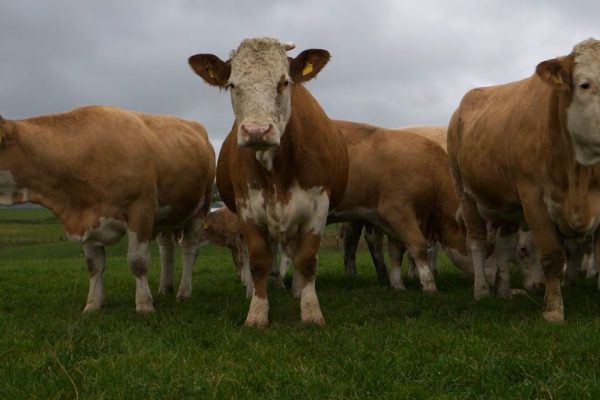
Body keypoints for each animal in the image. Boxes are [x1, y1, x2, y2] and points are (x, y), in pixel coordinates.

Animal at [0, 105, 216, 312]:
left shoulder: (141, 210)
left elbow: (137, 261)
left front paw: (144, 304)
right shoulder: (87, 218)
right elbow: (94, 266)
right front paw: (93, 304)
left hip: (200, 208)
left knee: (189, 249)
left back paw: (183, 292)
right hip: (166, 217)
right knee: (167, 250)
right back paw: (165, 288)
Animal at [188, 36, 346, 326]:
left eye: (284, 82)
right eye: (232, 84)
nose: (257, 131)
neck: (277, 173)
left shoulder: (318, 206)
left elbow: (307, 260)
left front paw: (311, 311)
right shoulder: (247, 208)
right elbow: (259, 261)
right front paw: (258, 312)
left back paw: (295, 288)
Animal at [448, 37, 600, 322]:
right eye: (585, 84)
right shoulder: (533, 199)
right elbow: (552, 256)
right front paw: (553, 311)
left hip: (508, 206)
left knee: (504, 245)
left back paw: (504, 291)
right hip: (465, 193)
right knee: (477, 243)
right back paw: (481, 290)